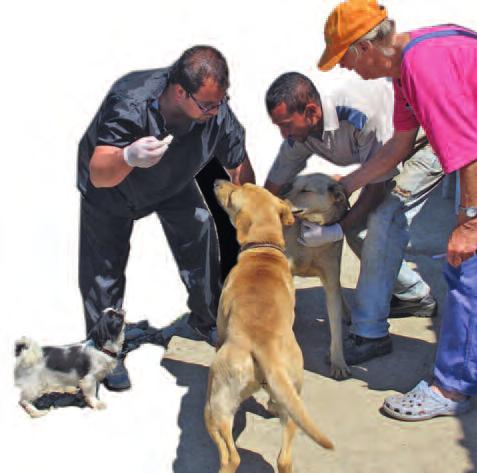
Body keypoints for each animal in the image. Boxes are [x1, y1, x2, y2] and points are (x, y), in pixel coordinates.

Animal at [205, 181, 330, 472]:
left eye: (234, 193)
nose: (217, 181)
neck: (264, 248)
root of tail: (265, 349)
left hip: (216, 405)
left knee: (231, 456)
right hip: (292, 402)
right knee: (284, 459)